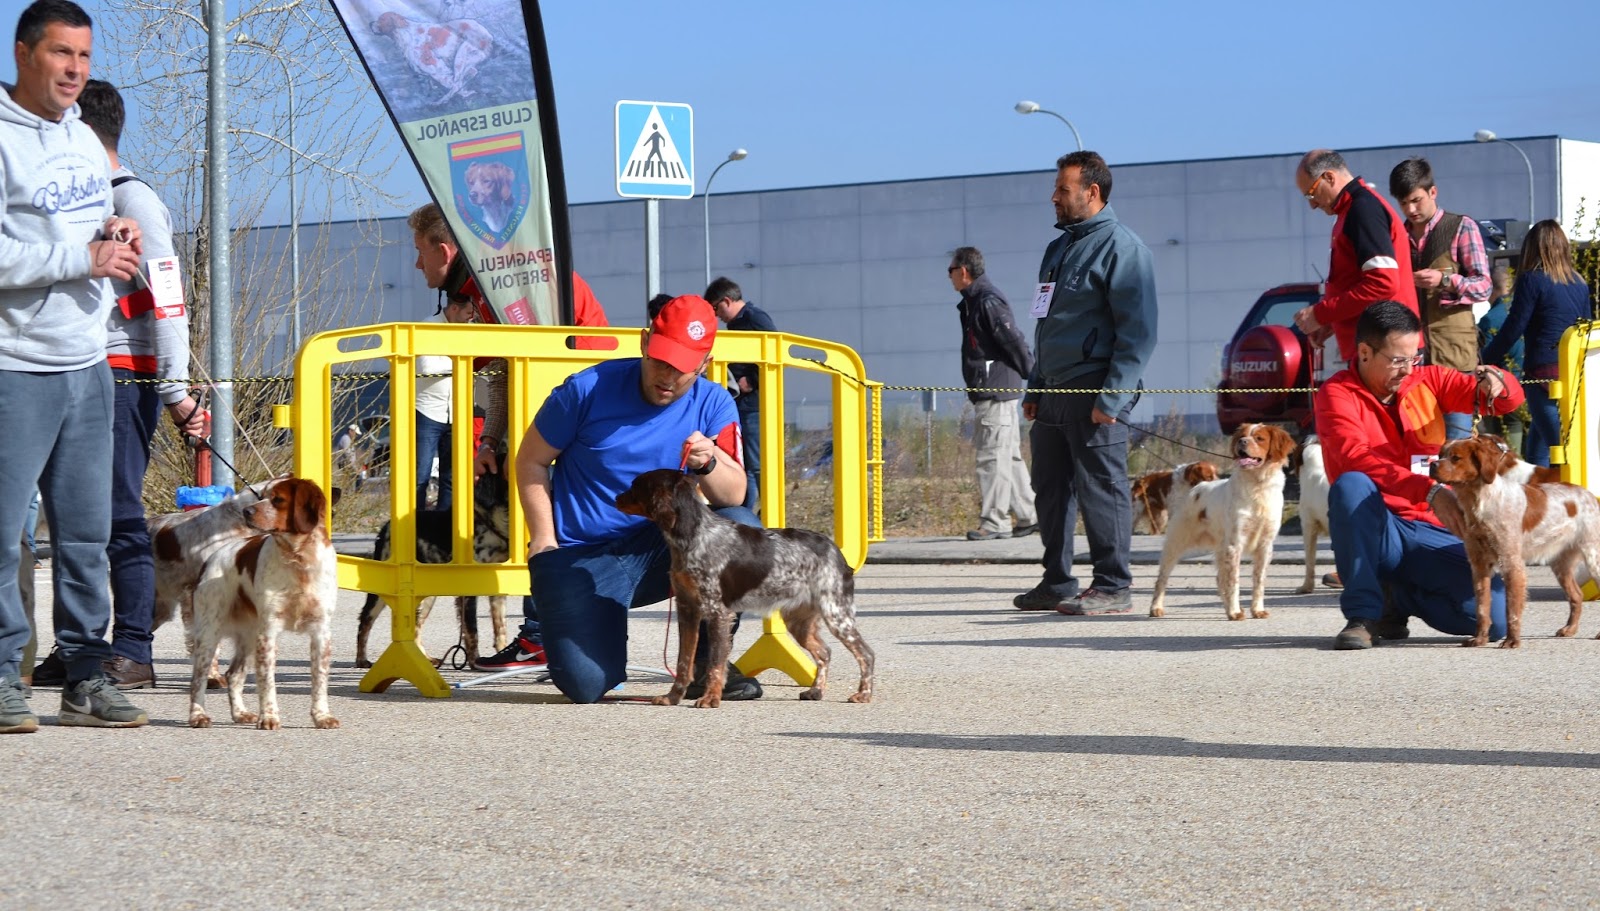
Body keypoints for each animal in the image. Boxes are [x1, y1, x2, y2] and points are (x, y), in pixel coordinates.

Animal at [187, 477, 340, 730]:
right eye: (262, 496)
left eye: (278, 499)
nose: (246, 511)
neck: (298, 560)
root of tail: (212, 558)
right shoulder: (269, 629)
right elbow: (267, 681)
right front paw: (268, 717)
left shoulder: (321, 631)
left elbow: (319, 680)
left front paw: (322, 716)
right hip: (209, 633)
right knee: (198, 678)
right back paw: (198, 716)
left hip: (249, 637)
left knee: (233, 674)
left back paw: (240, 713)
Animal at [354, 472, 511, 669]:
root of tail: (386, 527)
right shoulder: (468, 593)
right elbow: (472, 630)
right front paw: (475, 662)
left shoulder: (498, 591)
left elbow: (500, 628)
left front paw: (502, 656)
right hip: (384, 594)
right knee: (365, 620)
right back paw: (361, 659)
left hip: (426, 597)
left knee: (416, 626)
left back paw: (425, 658)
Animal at [615, 469, 874, 707]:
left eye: (636, 486)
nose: (616, 497)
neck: (693, 535)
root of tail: (836, 552)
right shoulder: (688, 610)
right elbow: (683, 661)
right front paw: (673, 697)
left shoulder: (718, 612)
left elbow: (715, 663)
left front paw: (710, 698)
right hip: (799, 620)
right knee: (825, 653)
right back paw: (816, 691)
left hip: (836, 613)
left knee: (866, 653)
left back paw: (863, 694)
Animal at [1148, 424, 1296, 620]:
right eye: (1242, 436)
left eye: (1260, 438)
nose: (1242, 442)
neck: (1258, 486)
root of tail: (1196, 488)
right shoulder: (1235, 544)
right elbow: (1234, 582)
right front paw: (1235, 611)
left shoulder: (1265, 545)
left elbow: (1258, 582)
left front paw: (1256, 610)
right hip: (1176, 542)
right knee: (1162, 578)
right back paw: (1155, 608)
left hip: (1220, 548)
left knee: (1220, 579)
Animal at [1430, 436, 1600, 648]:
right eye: (1440, 455)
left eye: (1456, 458)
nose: (1432, 465)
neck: (1479, 502)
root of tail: (1590, 495)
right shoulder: (1478, 565)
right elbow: (1482, 608)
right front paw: (1480, 639)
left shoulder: (1511, 562)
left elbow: (1511, 608)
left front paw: (1512, 641)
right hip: (1561, 564)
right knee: (1577, 595)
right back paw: (1569, 629)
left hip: (1593, 557)